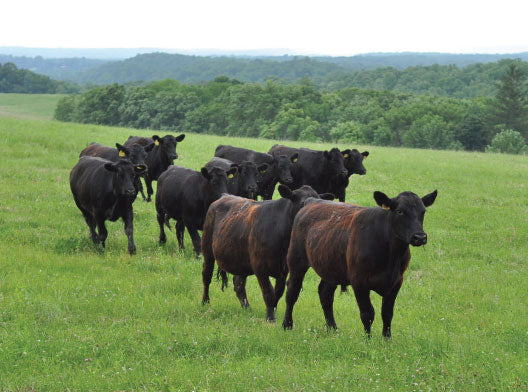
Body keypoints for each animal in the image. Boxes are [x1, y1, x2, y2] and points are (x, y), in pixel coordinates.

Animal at [202, 186, 334, 322]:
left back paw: (247, 308)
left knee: (239, 284)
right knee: (206, 276)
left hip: (240, 260)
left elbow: (278, 292)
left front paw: (272, 311)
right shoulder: (260, 267)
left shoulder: (284, 270)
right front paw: (270, 318)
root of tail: (225, 195)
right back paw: (205, 302)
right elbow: (268, 292)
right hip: (207, 250)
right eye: (303, 203)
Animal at [282, 190, 440, 336]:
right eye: (400, 211)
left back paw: (333, 328)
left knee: (325, 293)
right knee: (292, 291)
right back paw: (287, 325)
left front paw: (387, 339)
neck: (391, 255)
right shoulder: (359, 281)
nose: (420, 237)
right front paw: (368, 341)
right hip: (296, 260)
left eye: (423, 211)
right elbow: (367, 314)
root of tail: (312, 201)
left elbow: (387, 314)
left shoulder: (396, 281)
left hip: (330, 265)